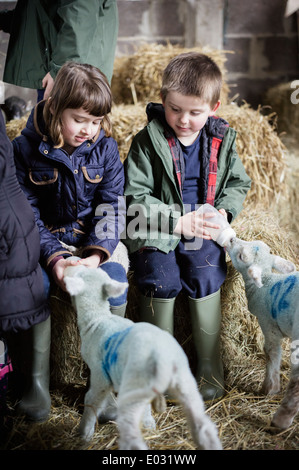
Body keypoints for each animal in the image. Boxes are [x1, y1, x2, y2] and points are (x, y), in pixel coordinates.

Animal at [63, 262, 223, 450]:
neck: (98, 318)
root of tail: (161, 357)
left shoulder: (99, 374)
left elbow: (91, 401)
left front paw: (84, 434)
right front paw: (149, 424)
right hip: (185, 382)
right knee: (202, 423)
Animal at [227, 239, 299, 430]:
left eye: (241, 256)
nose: (231, 239)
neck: (267, 281)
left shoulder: (269, 326)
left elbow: (271, 353)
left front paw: (269, 388)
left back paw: (281, 419)